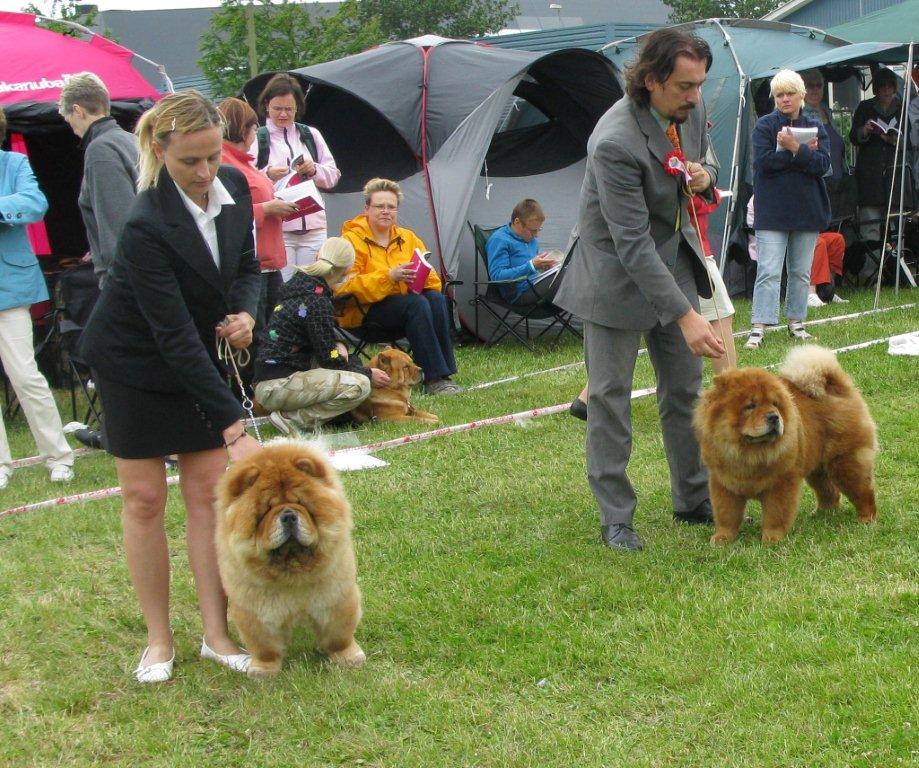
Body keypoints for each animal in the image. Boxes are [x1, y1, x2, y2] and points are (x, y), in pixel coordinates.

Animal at [214, 440, 364, 676]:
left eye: (301, 503)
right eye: (266, 510)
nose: (288, 516)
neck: (292, 568)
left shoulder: (336, 597)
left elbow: (339, 635)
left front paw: (348, 657)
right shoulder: (253, 610)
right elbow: (264, 646)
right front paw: (264, 670)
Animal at [692, 344, 880, 544]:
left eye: (775, 404)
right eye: (750, 406)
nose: (774, 417)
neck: (749, 452)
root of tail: (836, 387)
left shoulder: (781, 483)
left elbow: (776, 514)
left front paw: (772, 539)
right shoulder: (724, 484)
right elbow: (726, 514)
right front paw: (722, 538)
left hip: (845, 462)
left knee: (863, 491)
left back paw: (866, 518)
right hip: (816, 468)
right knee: (829, 491)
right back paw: (822, 513)